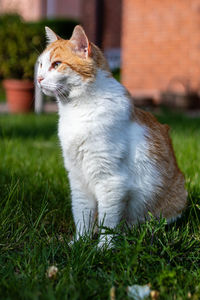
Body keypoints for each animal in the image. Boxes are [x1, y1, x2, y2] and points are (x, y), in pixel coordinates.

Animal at [36, 25, 188, 246]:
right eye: (40, 64)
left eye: (56, 64)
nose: (38, 79)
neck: (77, 110)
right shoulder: (78, 180)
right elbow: (82, 214)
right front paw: (80, 243)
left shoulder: (110, 180)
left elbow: (108, 220)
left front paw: (104, 247)